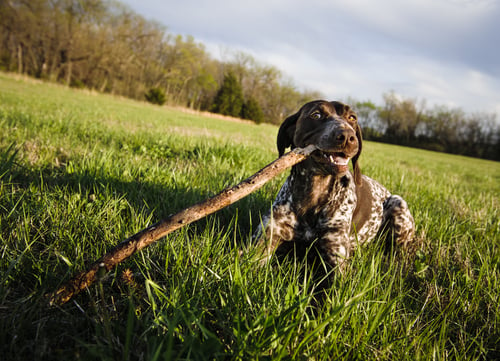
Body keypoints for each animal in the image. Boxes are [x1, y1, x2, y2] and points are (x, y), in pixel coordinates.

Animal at [254, 100, 414, 268]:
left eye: (352, 117)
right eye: (316, 115)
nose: (347, 136)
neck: (314, 190)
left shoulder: (336, 255)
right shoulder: (265, 238)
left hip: (398, 203)